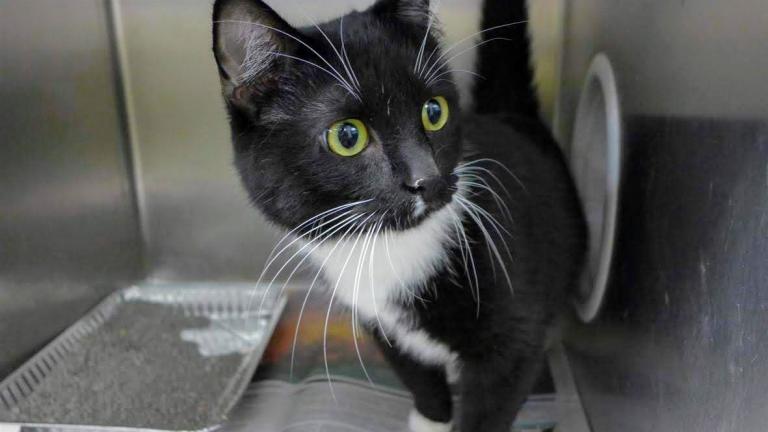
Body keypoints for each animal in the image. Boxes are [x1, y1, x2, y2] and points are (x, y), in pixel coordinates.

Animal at [210, 1, 584, 430]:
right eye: (348, 136)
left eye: (434, 111)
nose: (427, 179)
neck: (393, 246)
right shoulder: (376, 320)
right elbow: (416, 374)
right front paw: (430, 420)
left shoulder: (512, 338)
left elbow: (492, 402)